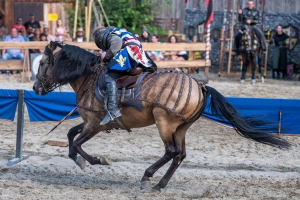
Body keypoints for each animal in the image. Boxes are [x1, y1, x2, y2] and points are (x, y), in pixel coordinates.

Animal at [32, 41, 288, 192]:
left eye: (43, 62)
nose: (35, 87)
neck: (89, 77)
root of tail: (200, 86)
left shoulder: (94, 125)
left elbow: (76, 143)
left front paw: (96, 160)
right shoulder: (91, 123)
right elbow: (70, 135)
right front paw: (82, 159)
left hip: (164, 123)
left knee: (171, 151)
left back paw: (148, 176)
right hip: (181, 128)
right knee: (180, 154)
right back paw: (160, 184)